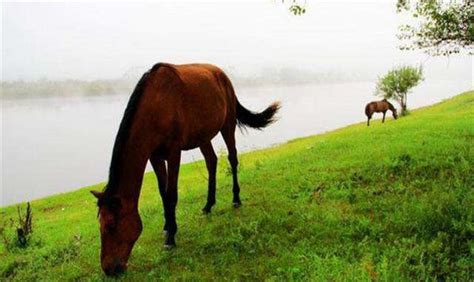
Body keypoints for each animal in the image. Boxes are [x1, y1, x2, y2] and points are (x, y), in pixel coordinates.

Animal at [90, 62, 280, 276]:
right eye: (100, 226)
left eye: (111, 225)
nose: (108, 269)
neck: (155, 106)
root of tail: (222, 74)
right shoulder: (155, 156)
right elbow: (163, 193)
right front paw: (167, 225)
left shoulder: (174, 152)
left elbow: (171, 194)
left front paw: (171, 238)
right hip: (203, 136)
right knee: (211, 162)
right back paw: (208, 205)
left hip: (227, 125)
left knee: (232, 159)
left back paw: (236, 199)